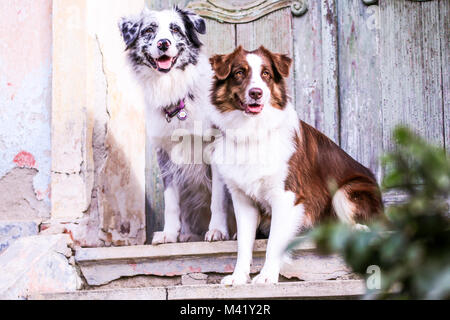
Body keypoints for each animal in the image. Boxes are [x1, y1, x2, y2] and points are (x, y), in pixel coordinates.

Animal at [209, 46, 382, 284]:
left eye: (266, 74)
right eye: (239, 73)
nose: (256, 93)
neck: (252, 132)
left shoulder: (286, 196)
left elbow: (274, 243)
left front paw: (267, 276)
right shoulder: (243, 200)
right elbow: (244, 244)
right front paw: (238, 277)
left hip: (345, 191)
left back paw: (358, 228)